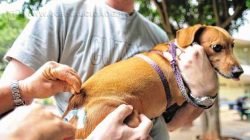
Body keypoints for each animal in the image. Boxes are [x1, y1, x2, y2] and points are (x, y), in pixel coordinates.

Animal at [62, 24, 242, 138]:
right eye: (217, 47)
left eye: (233, 45)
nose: (239, 72)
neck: (174, 55)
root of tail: (78, 99)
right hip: (128, 115)